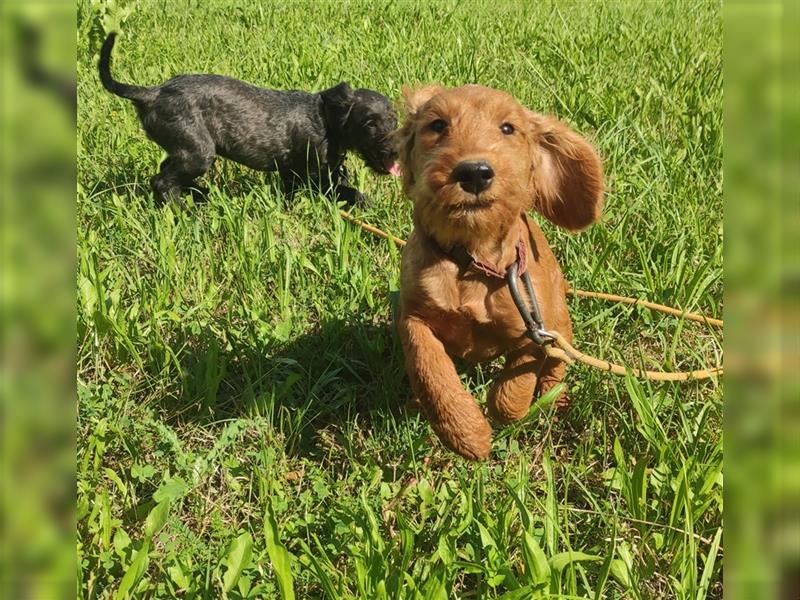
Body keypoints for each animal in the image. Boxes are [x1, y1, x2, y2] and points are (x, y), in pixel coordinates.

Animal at [100, 33, 400, 206]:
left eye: (395, 120)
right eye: (369, 123)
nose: (398, 151)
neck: (328, 121)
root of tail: (153, 93)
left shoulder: (292, 175)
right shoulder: (314, 179)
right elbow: (350, 193)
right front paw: (365, 203)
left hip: (185, 149)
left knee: (167, 173)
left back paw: (200, 195)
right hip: (197, 153)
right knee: (161, 182)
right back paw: (184, 211)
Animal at [394, 84, 600, 460]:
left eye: (507, 128)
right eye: (438, 125)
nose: (474, 171)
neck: (472, 262)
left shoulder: (533, 328)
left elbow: (517, 382)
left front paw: (504, 414)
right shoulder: (413, 316)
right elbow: (430, 370)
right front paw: (465, 432)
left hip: (561, 322)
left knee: (557, 365)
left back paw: (556, 400)